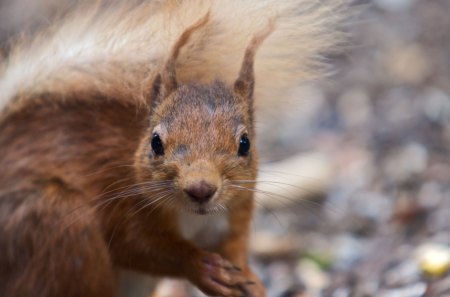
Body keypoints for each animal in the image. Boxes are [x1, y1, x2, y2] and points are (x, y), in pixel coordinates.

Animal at [0, 0, 348, 296]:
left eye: (245, 143)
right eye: (155, 142)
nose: (201, 189)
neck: (194, 218)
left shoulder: (234, 215)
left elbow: (235, 249)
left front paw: (252, 282)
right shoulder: (120, 202)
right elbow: (140, 247)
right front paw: (201, 267)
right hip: (57, 225)